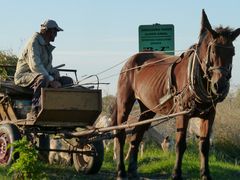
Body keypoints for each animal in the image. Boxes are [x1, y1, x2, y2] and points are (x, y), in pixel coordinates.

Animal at [112, 9, 240, 180]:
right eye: (213, 51)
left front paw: (205, 174)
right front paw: (176, 174)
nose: (220, 86)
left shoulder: (209, 114)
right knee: (120, 133)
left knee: (136, 135)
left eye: (233, 53)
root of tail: (132, 60)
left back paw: (133, 170)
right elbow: (180, 144)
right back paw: (121, 171)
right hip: (124, 101)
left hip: (147, 109)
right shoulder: (182, 112)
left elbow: (204, 145)